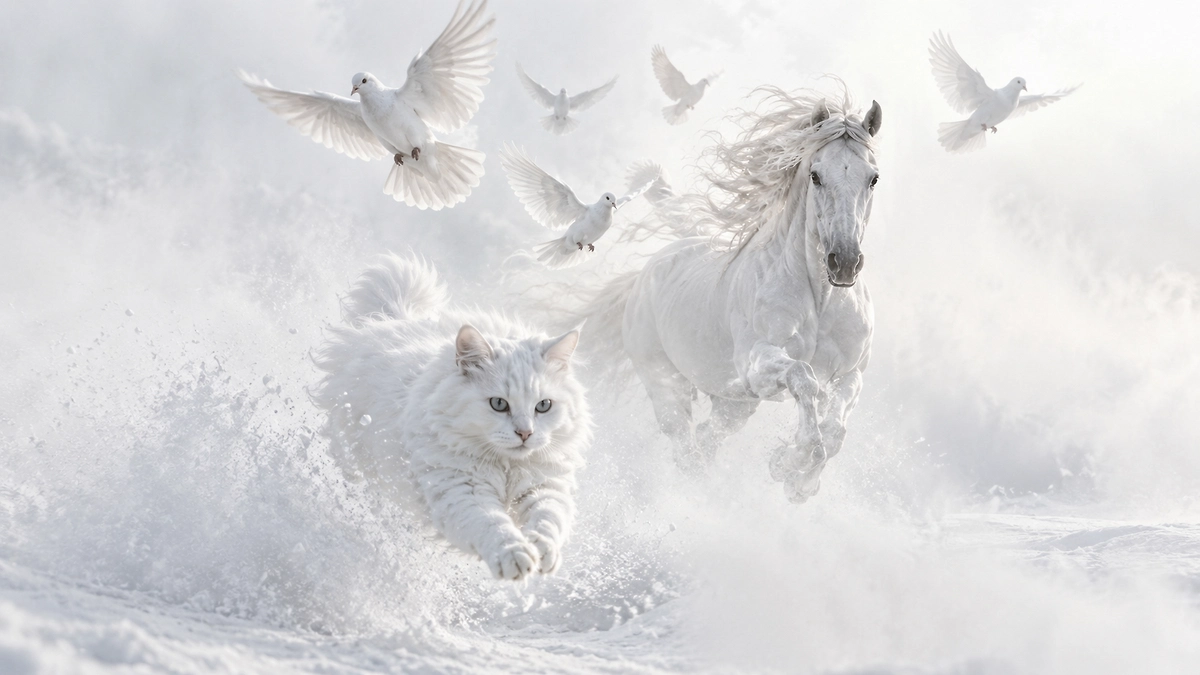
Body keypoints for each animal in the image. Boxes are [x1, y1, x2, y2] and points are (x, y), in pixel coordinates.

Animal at [585, 88, 882, 502]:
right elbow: (804, 379)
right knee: (686, 447)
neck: (820, 300)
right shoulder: (757, 364)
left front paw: (800, 480)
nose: (845, 263)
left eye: (873, 178)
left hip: (734, 405)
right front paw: (791, 463)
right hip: (668, 388)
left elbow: (836, 431)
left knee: (708, 438)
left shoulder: (850, 374)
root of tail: (649, 272)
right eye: (816, 175)